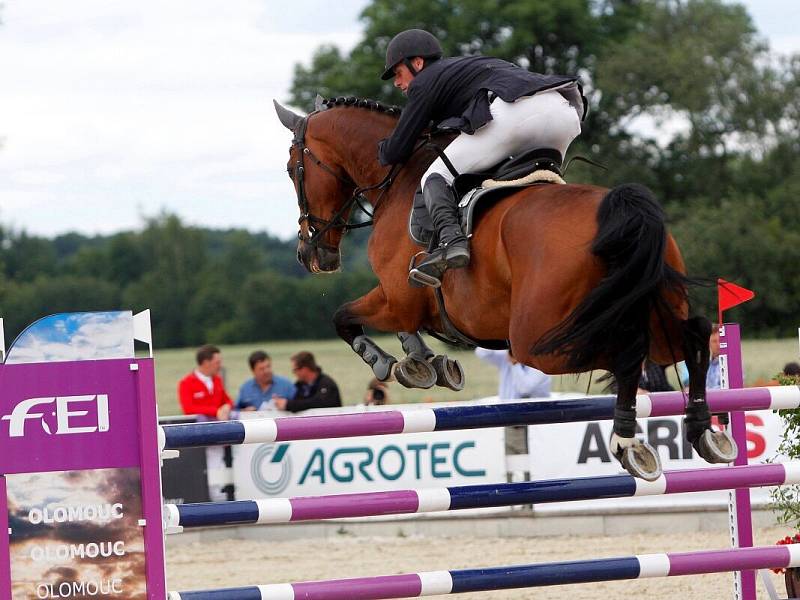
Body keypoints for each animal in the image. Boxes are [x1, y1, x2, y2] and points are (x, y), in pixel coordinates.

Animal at [272, 96, 736, 480]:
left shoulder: (397, 298)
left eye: (293, 170)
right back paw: (705, 432)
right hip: (650, 311)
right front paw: (429, 363)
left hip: (540, 341)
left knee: (627, 352)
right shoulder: (406, 302)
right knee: (692, 337)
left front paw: (395, 363)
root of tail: (621, 210)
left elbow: (344, 318)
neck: (398, 180)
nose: (310, 255)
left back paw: (628, 443)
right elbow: (396, 328)